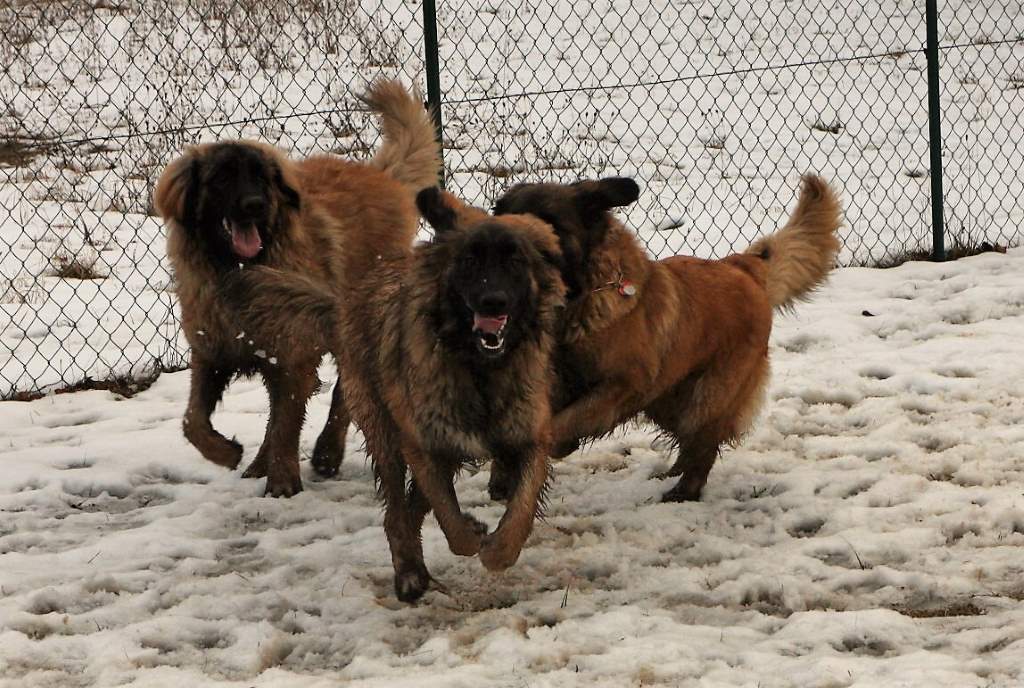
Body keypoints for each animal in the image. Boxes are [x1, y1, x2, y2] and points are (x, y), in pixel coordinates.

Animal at [153, 80, 438, 497]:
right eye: (222, 178)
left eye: (261, 178)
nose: (254, 205)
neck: (240, 272)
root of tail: (381, 177)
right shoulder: (212, 351)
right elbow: (194, 420)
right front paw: (228, 453)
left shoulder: (291, 356)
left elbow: (286, 423)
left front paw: (282, 480)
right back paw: (262, 462)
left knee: (341, 395)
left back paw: (326, 453)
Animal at [493, 175, 839, 501]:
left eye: (548, 223)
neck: (581, 301)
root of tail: (744, 267)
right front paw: (503, 475)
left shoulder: (621, 386)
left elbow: (563, 422)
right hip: (666, 398)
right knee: (689, 441)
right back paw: (672, 473)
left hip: (708, 396)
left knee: (704, 446)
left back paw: (684, 491)